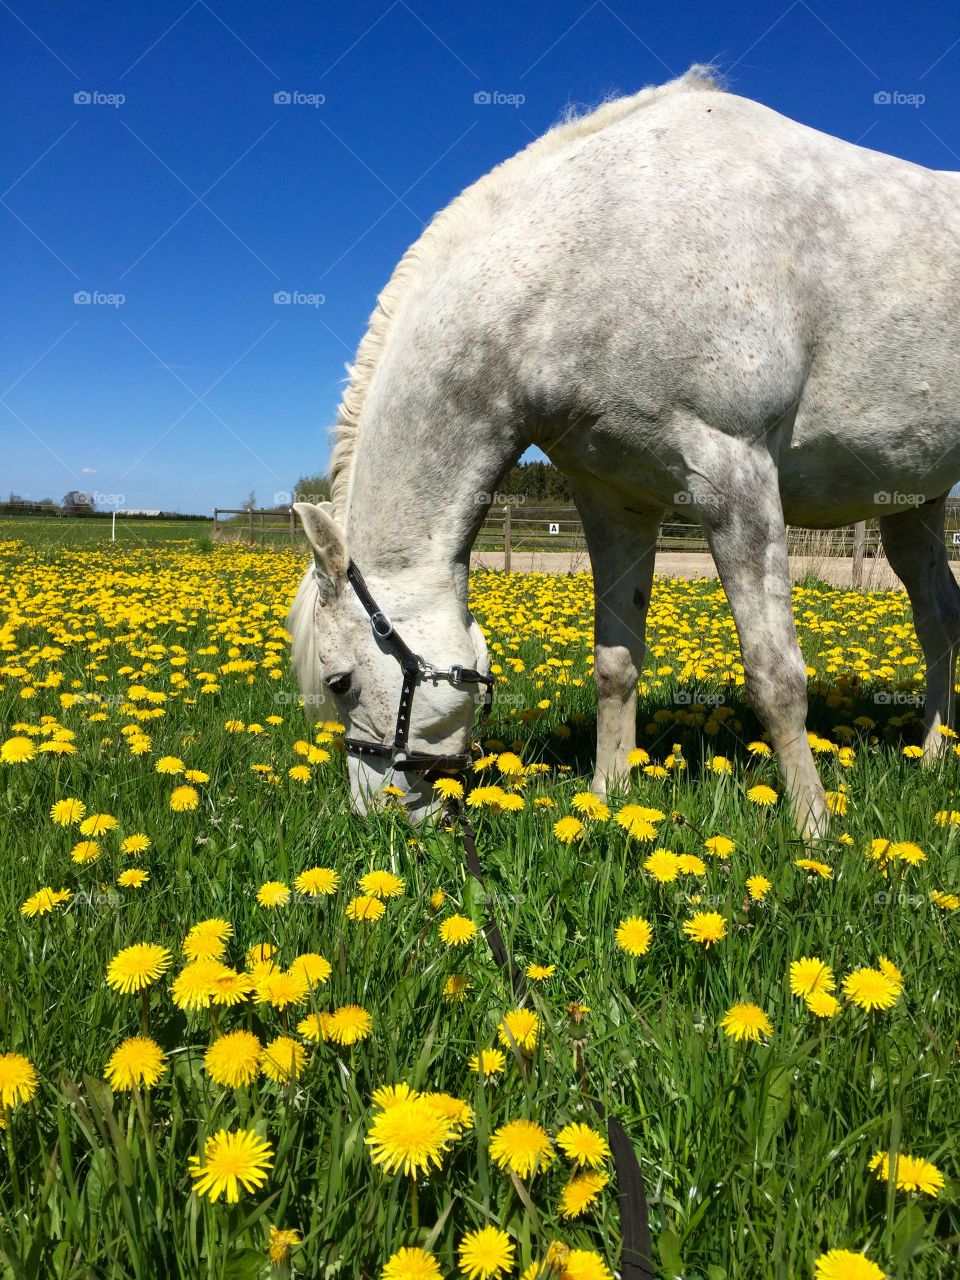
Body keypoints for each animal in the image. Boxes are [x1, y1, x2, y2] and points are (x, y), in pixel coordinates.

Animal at [287, 66, 960, 839]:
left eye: (339, 680)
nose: (383, 817)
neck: (597, 249)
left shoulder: (736, 474)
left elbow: (776, 674)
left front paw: (814, 829)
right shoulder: (617, 503)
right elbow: (615, 662)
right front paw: (607, 800)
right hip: (914, 502)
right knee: (940, 618)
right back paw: (935, 756)